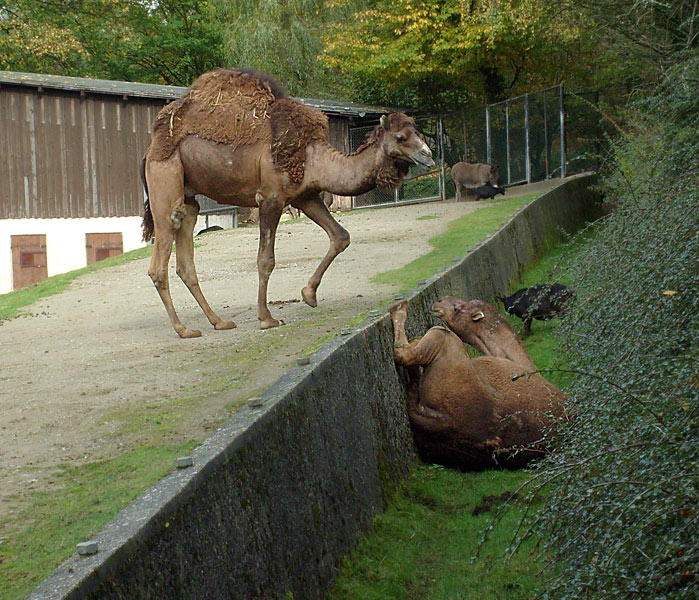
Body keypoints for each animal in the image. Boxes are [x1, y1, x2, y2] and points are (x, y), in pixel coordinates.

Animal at [142, 70, 432, 338]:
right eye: (401, 137)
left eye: (418, 132)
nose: (428, 156)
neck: (314, 156)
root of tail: (150, 150)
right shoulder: (271, 197)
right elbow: (265, 260)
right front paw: (266, 318)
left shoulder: (305, 196)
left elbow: (341, 236)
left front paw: (309, 294)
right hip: (164, 178)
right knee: (160, 257)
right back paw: (183, 329)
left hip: (189, 197)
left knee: (186, 258)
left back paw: (219, 322)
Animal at [392, 298, 568, 468]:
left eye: (457, 308)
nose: (439, 301)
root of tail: (444, 422)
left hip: (445, 341)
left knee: (408, 353)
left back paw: (399, 309)